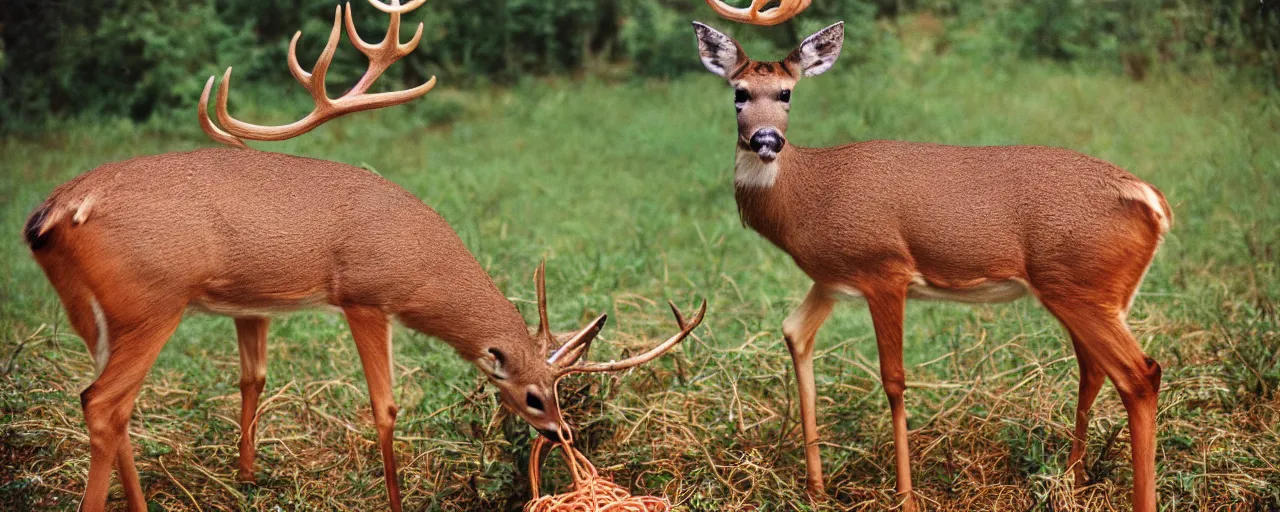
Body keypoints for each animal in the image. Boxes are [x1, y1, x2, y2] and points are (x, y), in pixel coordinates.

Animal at [15, 1, 706, 512]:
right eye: (535, 396)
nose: (562, 432)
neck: (420, 252)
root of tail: (53, 211)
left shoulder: (254, 306)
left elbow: (254, 379)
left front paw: (248, 478)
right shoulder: (365, 295)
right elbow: (386, 408)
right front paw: (395, 499)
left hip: (97, 315)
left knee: (114, 406)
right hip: (151, 302)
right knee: (103, 403)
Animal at [691, 20, 1172, 512]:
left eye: (786, 93)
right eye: (740, 93)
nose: (766, 140)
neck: (806, 196)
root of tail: (1155, 203)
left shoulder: (883, 266)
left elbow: (894, 379)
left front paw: (905, 496)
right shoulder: (831, 280)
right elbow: (794, 333)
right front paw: (815, 489)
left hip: (1078, 285)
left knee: (1140, 375)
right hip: (1088, 291)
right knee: (1094, 369)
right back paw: (1072, 482)